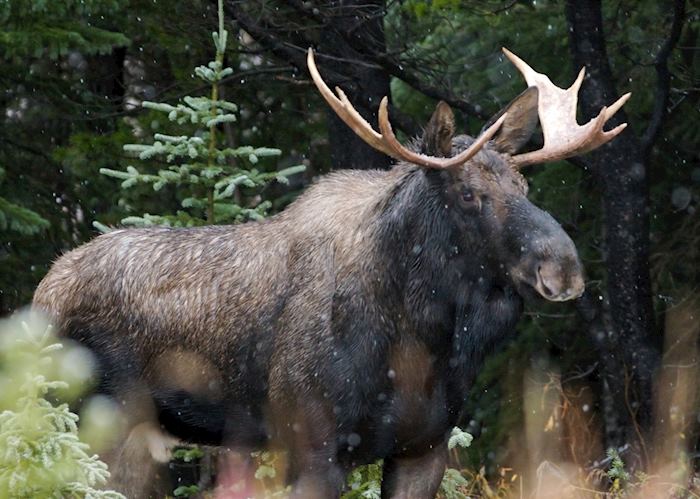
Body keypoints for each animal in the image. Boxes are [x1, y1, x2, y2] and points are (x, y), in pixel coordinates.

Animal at [32, 47, 632, 499]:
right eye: (467, 194)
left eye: (524, 186)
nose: (564, 267)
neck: (422, 341)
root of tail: (43, 294)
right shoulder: (312, 446)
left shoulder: (423, 449)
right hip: (92, 419)